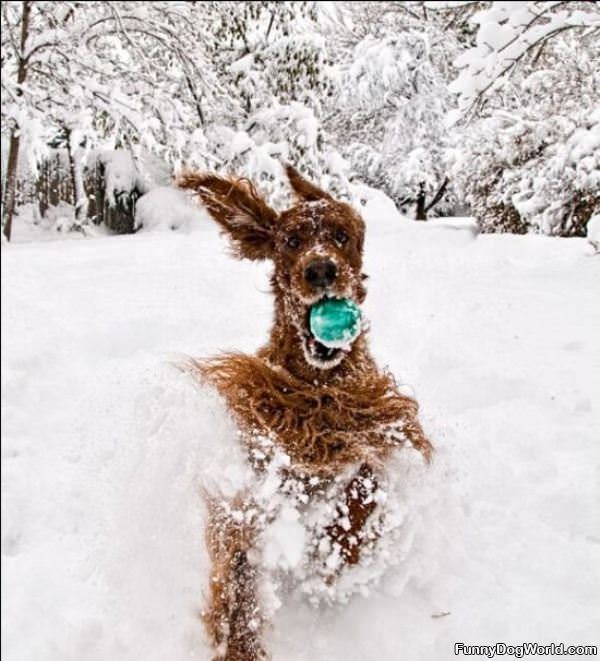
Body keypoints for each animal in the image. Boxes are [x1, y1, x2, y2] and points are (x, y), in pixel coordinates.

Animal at [177, 166, 432, 660]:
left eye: (341, 235)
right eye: (292, 240)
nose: (320, 269)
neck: (318, 389)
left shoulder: (370, 427)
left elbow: (363, 484)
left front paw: (340, 547)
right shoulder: (255, 464)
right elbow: (237, 557)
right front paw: (237, 635)